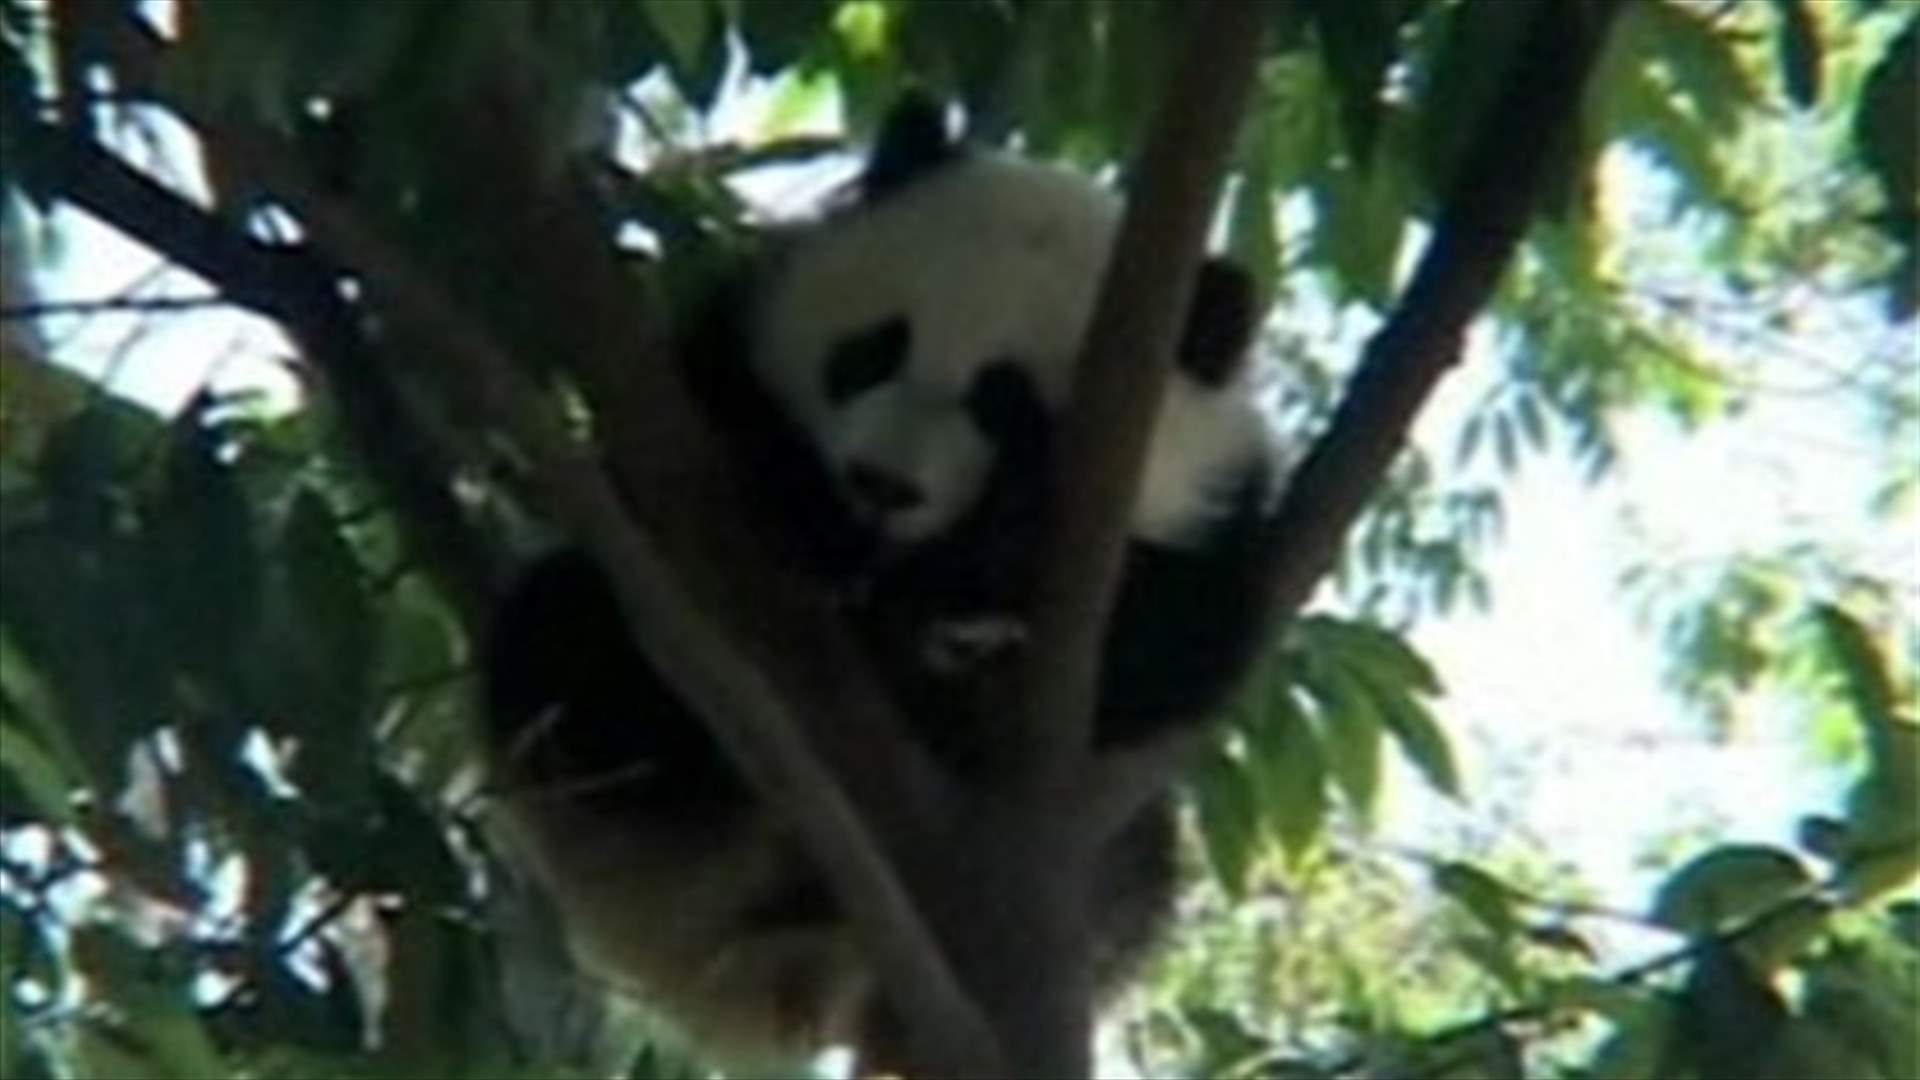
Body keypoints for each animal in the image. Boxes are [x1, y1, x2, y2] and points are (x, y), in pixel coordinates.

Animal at [483, 98, 1283, 1069]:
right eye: (876, 349)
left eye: (1005, 405)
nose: (880, 485)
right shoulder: (721, 360)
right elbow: (678, 461)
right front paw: (813, 518)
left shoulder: (1217, 529)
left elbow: (1169, 658)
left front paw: (969, 601)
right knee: (571, 655)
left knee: (1133, 877)